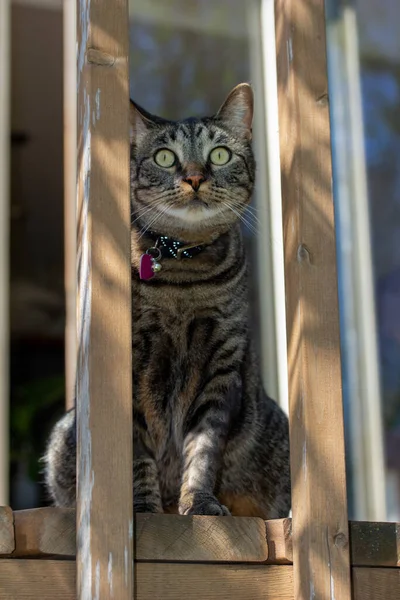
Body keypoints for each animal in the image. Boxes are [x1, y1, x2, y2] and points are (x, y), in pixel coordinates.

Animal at [44, 82, 290, 516]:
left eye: (219, 154)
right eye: (165, 157)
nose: (193, 177)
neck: (182, 276)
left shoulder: (221, 368)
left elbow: (204, 449)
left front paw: (200, 503)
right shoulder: (129, 367)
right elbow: (137, 454)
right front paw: (143, 508)